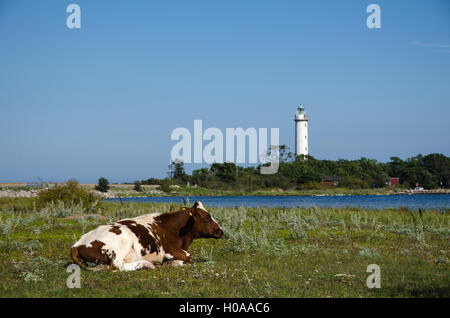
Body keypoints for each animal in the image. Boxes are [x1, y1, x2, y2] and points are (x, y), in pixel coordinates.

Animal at [70, 201, 223, 270]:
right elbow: (189, 257)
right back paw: (146, 264)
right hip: (123, 241)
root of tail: (77, 244)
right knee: (118, 265)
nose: (221, 230)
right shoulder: (170, 250)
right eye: (206, 218)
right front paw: (171, 262)